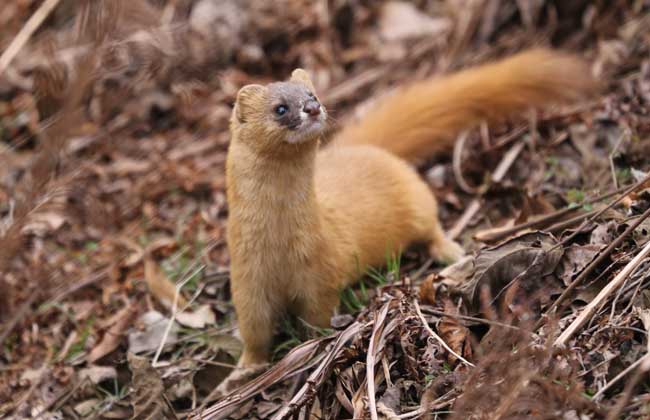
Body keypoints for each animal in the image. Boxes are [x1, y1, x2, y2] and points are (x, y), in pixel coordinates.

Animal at [225, 49, 596, 366]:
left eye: (312, 94)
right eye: (280, 107)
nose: (313, 108)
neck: (279, 246)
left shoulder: (319, 273)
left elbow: (318, 315)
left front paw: (310, 346)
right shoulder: (246, 280)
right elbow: (254, 329)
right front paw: (244, 369)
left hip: (416, 198)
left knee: (429, 221)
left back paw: (449, 250)